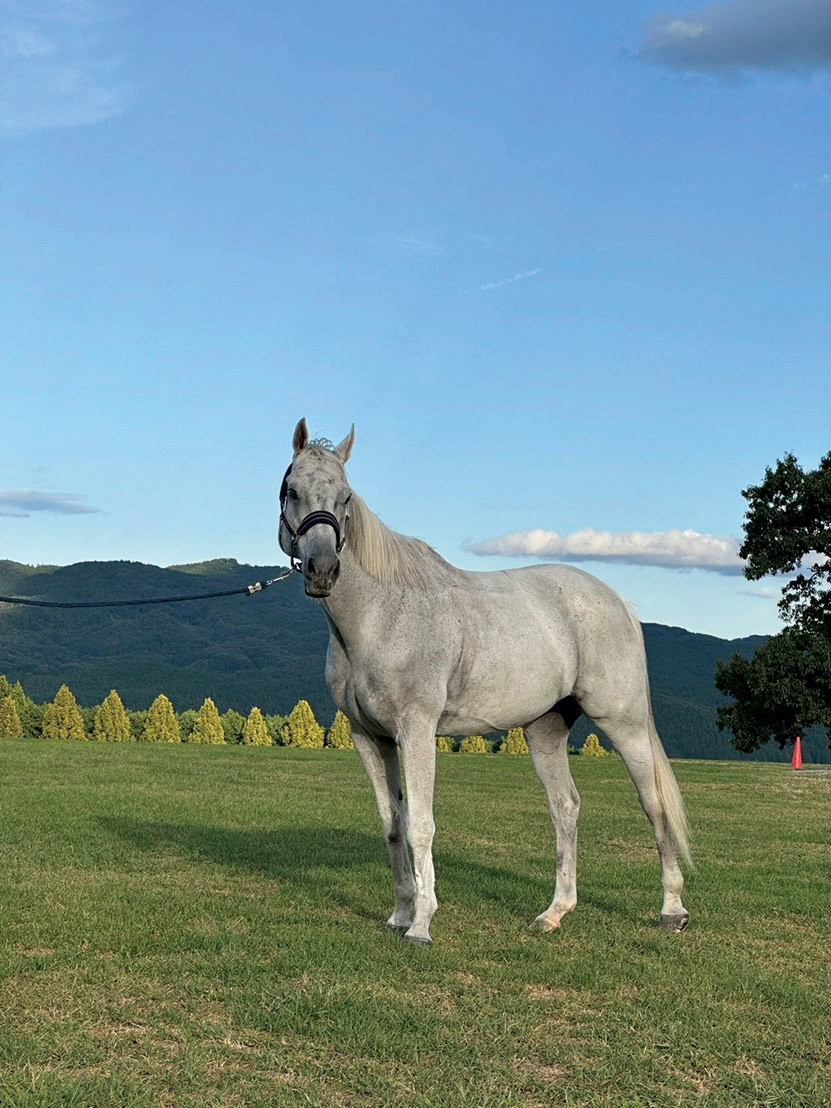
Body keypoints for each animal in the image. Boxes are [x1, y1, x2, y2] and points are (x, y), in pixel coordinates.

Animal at [278, 418, 691, 945]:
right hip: (545, 731)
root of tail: (617, 602)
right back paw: (554, 912)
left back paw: (672, 910)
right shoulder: (369, 736)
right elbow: (393, 823)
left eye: (346, 497)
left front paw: (421, 924)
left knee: (653, 805)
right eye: (293, 490)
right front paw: (400, 912)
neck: (382, 615)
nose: (324, 570)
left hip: (625, 723)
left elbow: (421, 825)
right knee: (566, 808)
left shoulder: (416, 731)